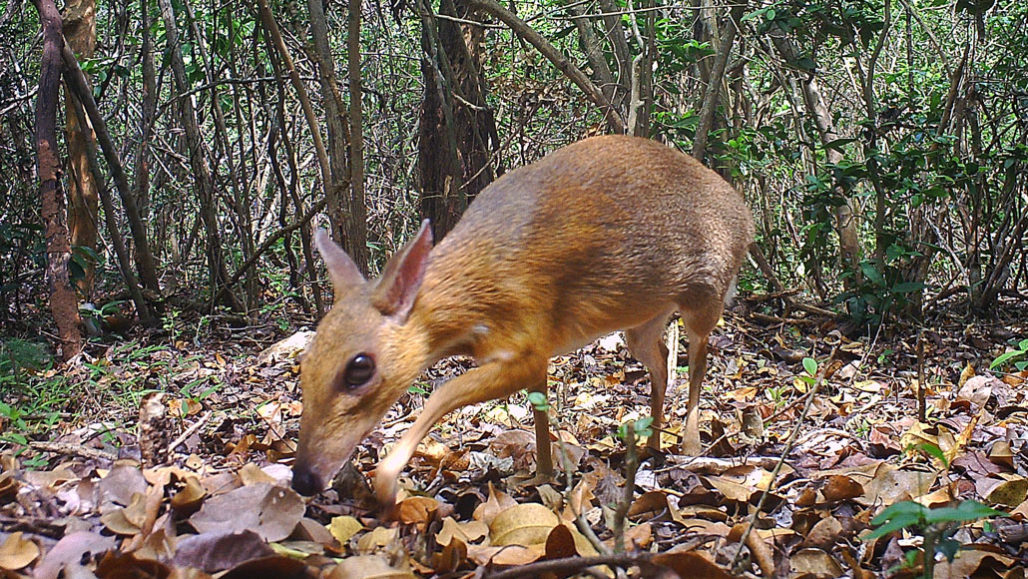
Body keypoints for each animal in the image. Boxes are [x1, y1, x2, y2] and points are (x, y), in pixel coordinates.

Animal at [289, 133, 756, 505]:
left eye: (359, 368)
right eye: (305, 362)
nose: (303, 478)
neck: (477, 291)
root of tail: (746, 213)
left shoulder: (528, 338)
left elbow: (444, 393)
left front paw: (387, 482)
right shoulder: (537, 350)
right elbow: (538, 407)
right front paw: (541, 474)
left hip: (707, 293)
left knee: (699, 359)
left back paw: (690, 444)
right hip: (642, 319)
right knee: (659, 361)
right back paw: (652, 443)